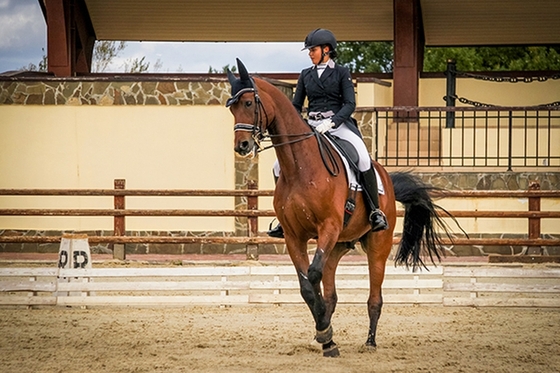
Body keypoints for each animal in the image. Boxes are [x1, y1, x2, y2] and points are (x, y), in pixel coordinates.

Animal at [226, 59, 456, 356]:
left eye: (248, 103)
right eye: (231, 108)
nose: (241, 146)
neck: (300, 166)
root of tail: (387, 178)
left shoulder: (329, 226)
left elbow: (312, 275)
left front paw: (325, 332)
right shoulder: (294, 236)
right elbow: (307, 285)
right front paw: (325, 334)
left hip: (377, 246)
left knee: (374, 297)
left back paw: (370, 342)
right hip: (337, 246)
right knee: (331, 290)